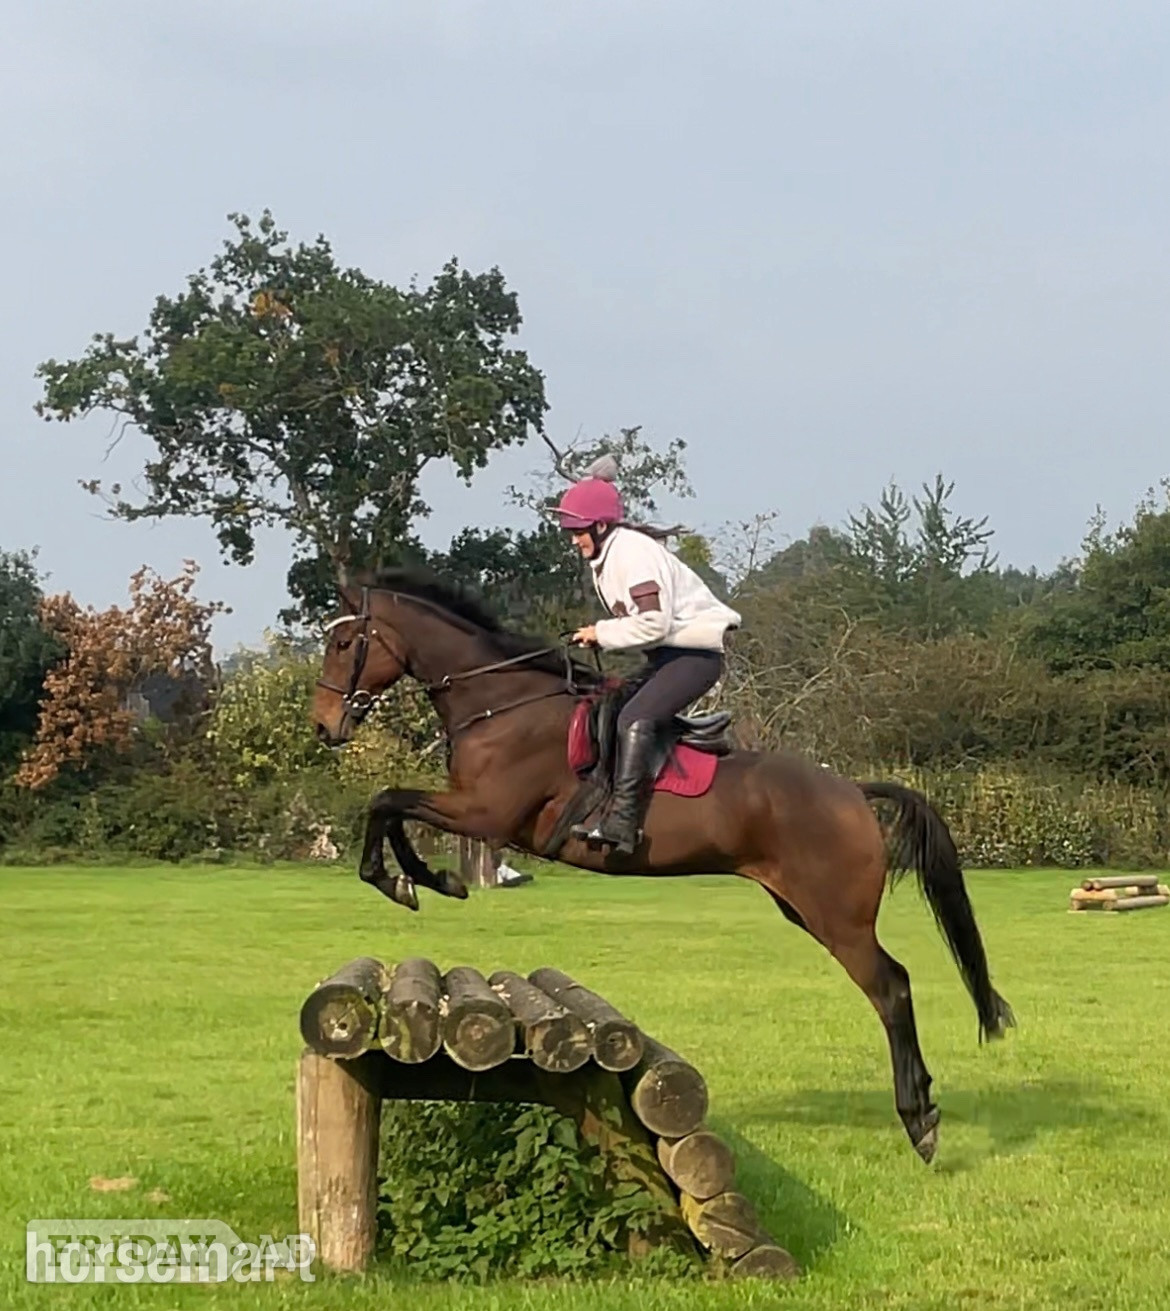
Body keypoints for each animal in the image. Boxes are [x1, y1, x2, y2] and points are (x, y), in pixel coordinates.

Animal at [311, 567, 1014, 1163]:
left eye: (344, 642)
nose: (323, 728)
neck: (501, 702)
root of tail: (851, 791)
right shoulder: (473, 813)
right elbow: (390, 807)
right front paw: (424, 880)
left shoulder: (486, 814)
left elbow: (387, 801)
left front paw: (410, 880)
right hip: (803, 908)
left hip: (837, 917)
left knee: (891, 987)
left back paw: (919, 1119)